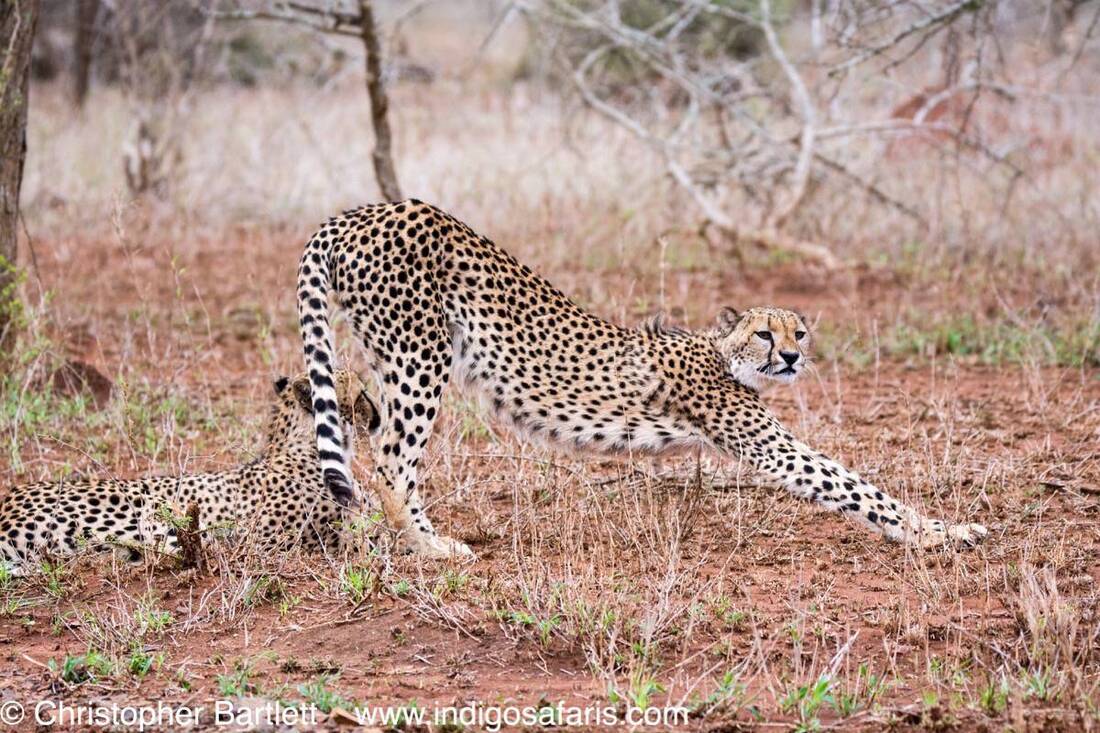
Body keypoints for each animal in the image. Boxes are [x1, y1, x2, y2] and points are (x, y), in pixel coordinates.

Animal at [297, 199, 988, 559]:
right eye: (766, 334)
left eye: (799, 332)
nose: (792, 358)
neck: (723, 353)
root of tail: (361, 210)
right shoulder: (769, 444)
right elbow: (855, 486)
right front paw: (944, 533)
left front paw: (940, 531)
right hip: (420, 357)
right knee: (390, 458)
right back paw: (430, 546)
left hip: (392, 357)